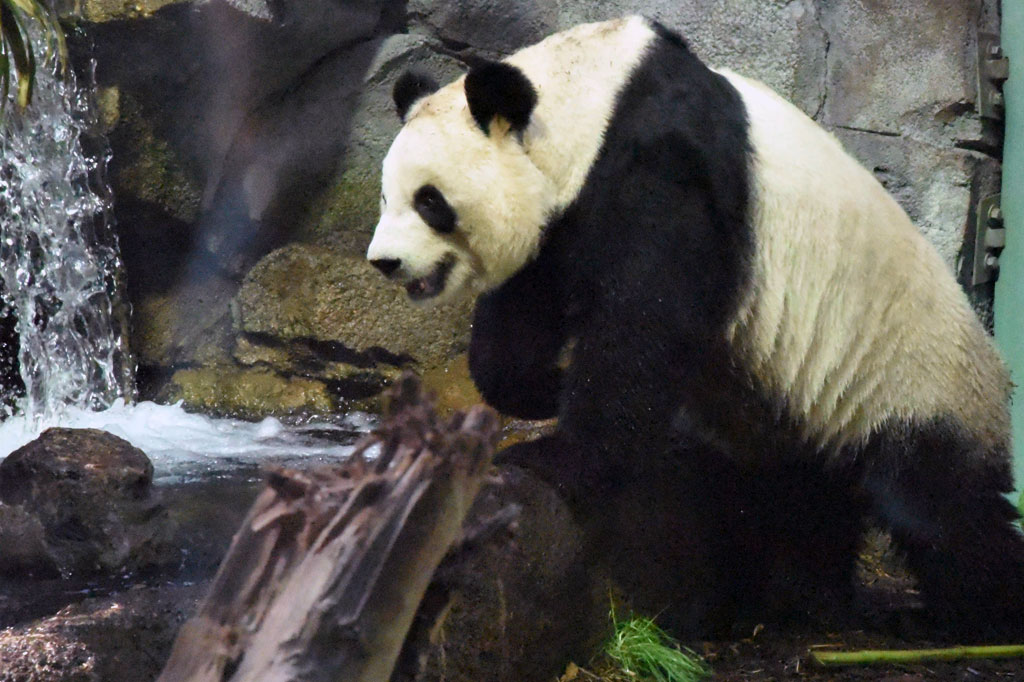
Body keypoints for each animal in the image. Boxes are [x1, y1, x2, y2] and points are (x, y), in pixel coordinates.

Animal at [366, 16, 1024, 635]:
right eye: (386, 197)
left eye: (430, 201)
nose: (385, 262)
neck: (589, 98)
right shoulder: (563, 222)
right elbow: (523, 313)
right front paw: (544, 389)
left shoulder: (665, 169)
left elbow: (643, 324)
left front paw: (554, 455)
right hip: (804, 406)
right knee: (801, 498)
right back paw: (800, 600)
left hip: (912, 378)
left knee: (940, 505)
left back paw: (968, 616)